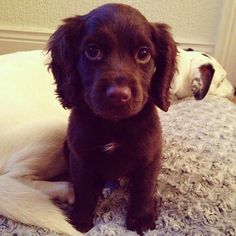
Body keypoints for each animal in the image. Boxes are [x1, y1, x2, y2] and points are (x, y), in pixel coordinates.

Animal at [48, 3, 176, 234]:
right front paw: (80, 220)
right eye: (92, 51)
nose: (119, 95)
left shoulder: (149, 155)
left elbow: (144, 187)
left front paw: (141, 218)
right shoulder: (79, 156)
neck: (113, 125)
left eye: (143, 53)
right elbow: (82, 188)